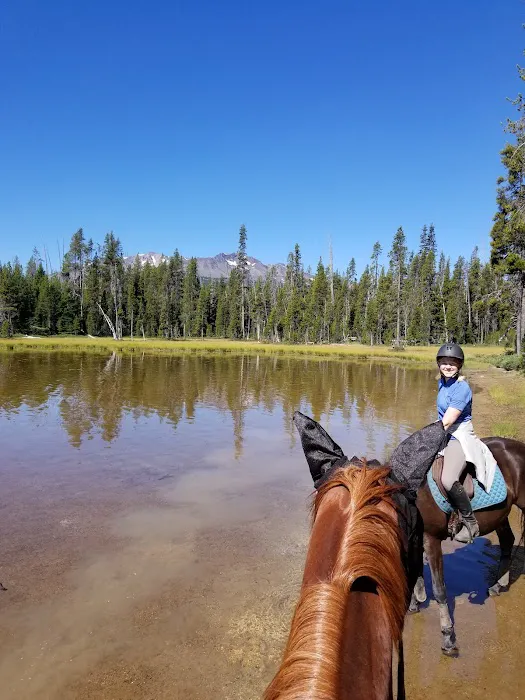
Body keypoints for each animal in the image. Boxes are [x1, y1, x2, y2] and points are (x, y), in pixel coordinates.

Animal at [408, 435, 525, 656]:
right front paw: (413, 605)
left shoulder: (430, 539)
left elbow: (439, 589)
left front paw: (447, 638)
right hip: (500, 515)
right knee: (507, 540)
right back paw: (498, 585)